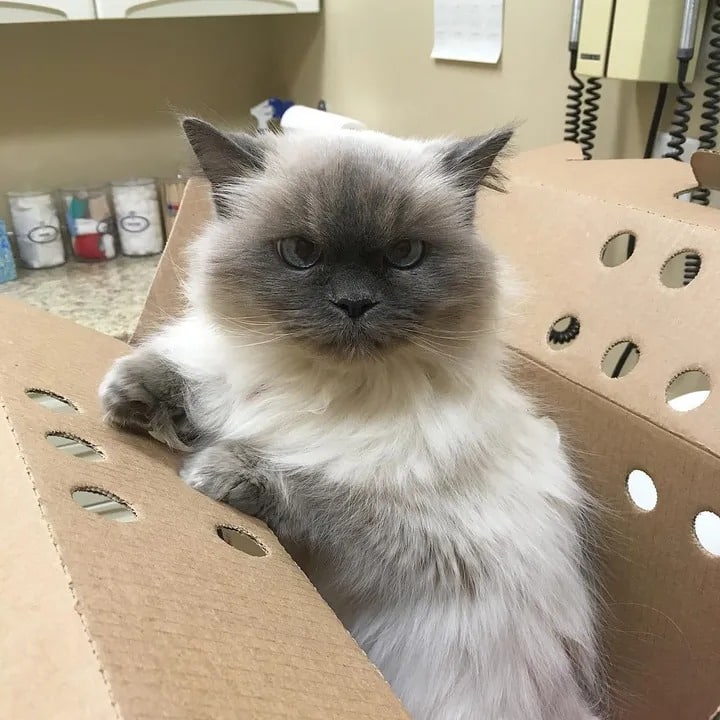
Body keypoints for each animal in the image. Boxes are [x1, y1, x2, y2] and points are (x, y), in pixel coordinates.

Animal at [97, 119, 600, 720]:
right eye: (300, 252)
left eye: (405, 254)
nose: (354, 303)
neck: (318, 388)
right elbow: (190, 378)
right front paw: (129, 396)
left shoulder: (433, 545)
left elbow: (321, 491)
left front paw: (217, 470)